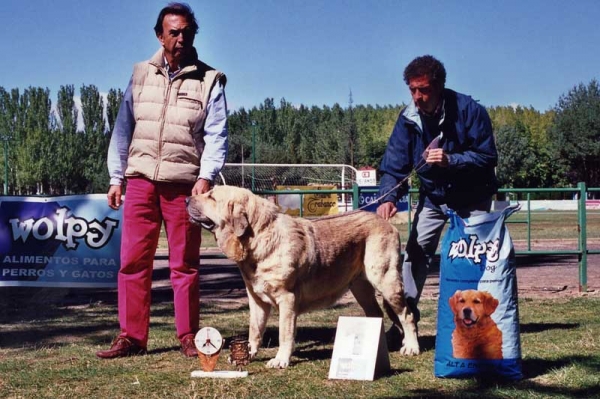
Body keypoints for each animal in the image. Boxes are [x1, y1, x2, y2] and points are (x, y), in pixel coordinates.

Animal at [185, 187, 420, 368]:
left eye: (211, 197)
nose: (187, 199)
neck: (258, 238)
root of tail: (386, 222)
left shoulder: (287, 299)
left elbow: (285, 333)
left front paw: (280, 360)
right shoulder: (257, 300)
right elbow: (255, 330)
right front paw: (247, 354)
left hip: (386, 280)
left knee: (407, 314)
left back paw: (411, 347)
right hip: (360, 288)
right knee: (376, 314)